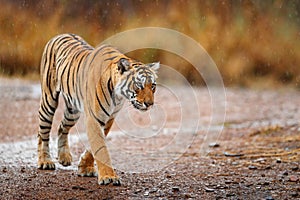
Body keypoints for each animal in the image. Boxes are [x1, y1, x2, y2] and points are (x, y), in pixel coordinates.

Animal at [37, 33, 159, 185]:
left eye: (152, 86)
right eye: (139, 85)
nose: (150, 103)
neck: (117, 95)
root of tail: (59, 35)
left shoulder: (108, 119)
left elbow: (94, 147)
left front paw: (85, 168)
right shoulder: (94, 118)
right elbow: (101, 148)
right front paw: (108, 177)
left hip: (73, 111)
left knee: (62, 127)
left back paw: (64, 157)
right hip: (49, 100)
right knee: (43, 132)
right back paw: (45, 161)